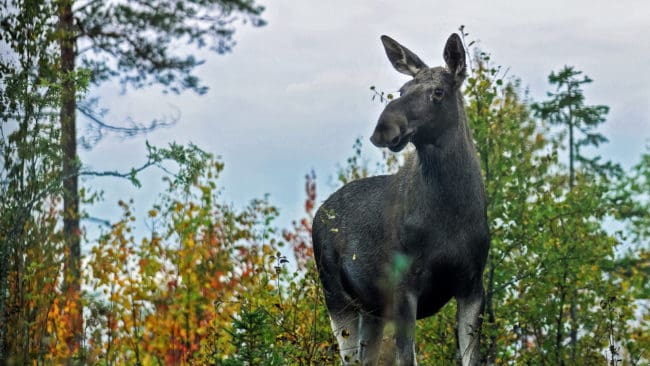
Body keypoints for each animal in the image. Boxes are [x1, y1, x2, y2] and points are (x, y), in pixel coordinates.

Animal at [312, 33, 488, 364]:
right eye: (403, 90)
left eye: (438, 92)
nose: (383, 128)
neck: (452, 211)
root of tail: (319, 212)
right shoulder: (404, 287)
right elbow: (407, 357)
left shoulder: (473, 285)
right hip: (336, 297)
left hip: (371, 310)